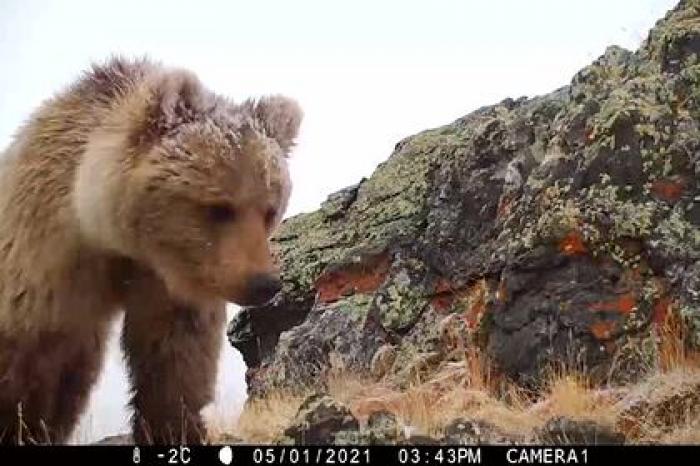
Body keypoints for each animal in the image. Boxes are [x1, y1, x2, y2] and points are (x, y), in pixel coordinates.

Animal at [0, 57, 300, 444]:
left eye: (269, 210)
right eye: (219, 207)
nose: (264, 283)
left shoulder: (174, 280)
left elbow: (175, 357)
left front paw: (176, 428)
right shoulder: (46, 261)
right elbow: (31, 362)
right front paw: (22, 426)